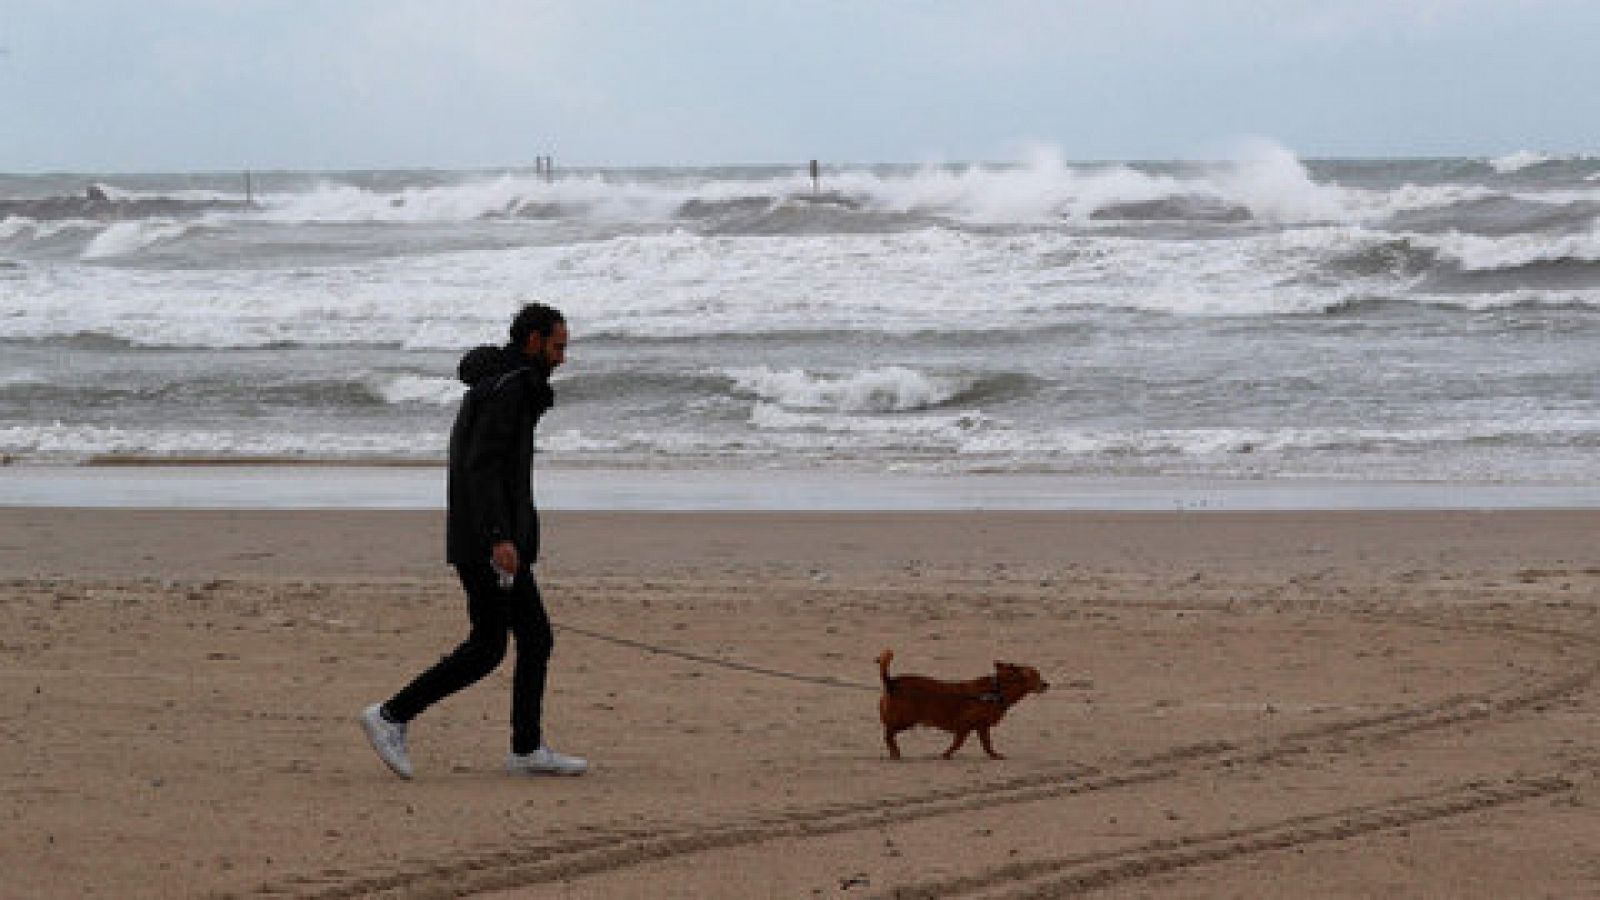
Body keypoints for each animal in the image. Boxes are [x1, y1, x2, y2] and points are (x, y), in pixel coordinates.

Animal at [876, 643, 1049, 755]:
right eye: (1034, 676)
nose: (1047, 684)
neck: (997, 689)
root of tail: (891, 682)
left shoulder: (981, 727)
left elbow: (986, 744)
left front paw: (993, 755)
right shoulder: (966, 726)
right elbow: (958, 744)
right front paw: (946, 754)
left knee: (888, 735)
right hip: (906, 720)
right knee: (888, 735)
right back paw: (896, 753)